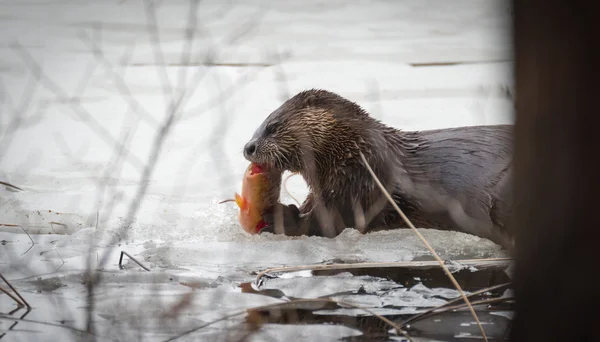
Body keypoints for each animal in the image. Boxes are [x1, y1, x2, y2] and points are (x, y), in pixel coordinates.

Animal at [241, 89, 512, 247]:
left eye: (273, 126)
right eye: (259, 126)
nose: (248, 147)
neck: (356, 153)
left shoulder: (359, 189)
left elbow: (325, 224)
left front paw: (277, 215)